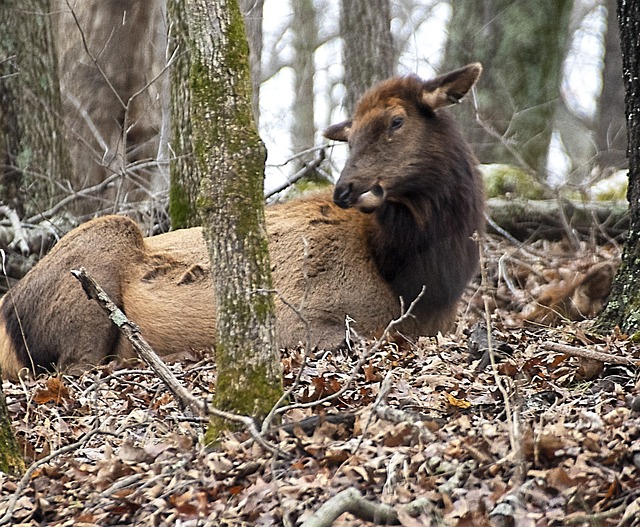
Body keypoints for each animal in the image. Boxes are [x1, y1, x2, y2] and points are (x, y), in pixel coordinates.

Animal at [0, 64, 482, 378]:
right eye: (352, 136)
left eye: (397, 120)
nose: (346, 189)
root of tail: (8, 310)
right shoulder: (304, 318)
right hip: (99, 252)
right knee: (75, 367)